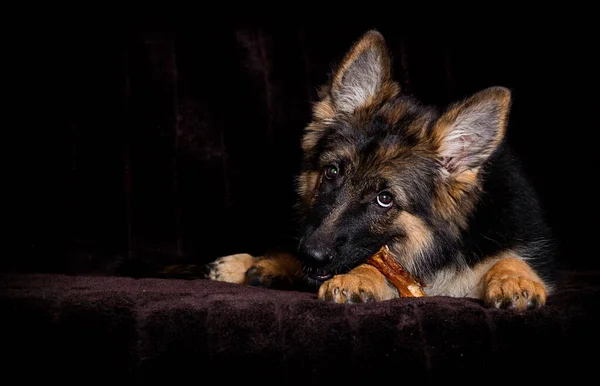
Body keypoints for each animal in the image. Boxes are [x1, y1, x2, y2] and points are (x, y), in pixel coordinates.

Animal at [207, 30, 556, 310]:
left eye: (385, 199)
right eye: (332, 172)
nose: (311, 254)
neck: (441, 248)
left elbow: (508, 258)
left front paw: (514, 280)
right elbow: (373, 264)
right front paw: (356, 277)